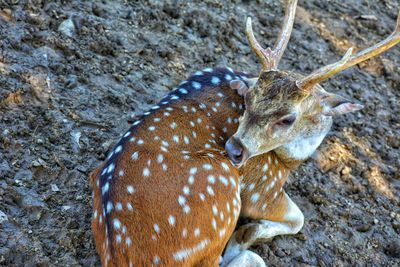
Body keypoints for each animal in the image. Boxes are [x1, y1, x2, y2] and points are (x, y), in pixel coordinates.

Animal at [90, 0, 400, 266]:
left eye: (288, 118)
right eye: (249, 98)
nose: (233, 149)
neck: (291, 159)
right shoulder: (263, 187)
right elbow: (299, 219)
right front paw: (246, 234)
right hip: (221, 189)